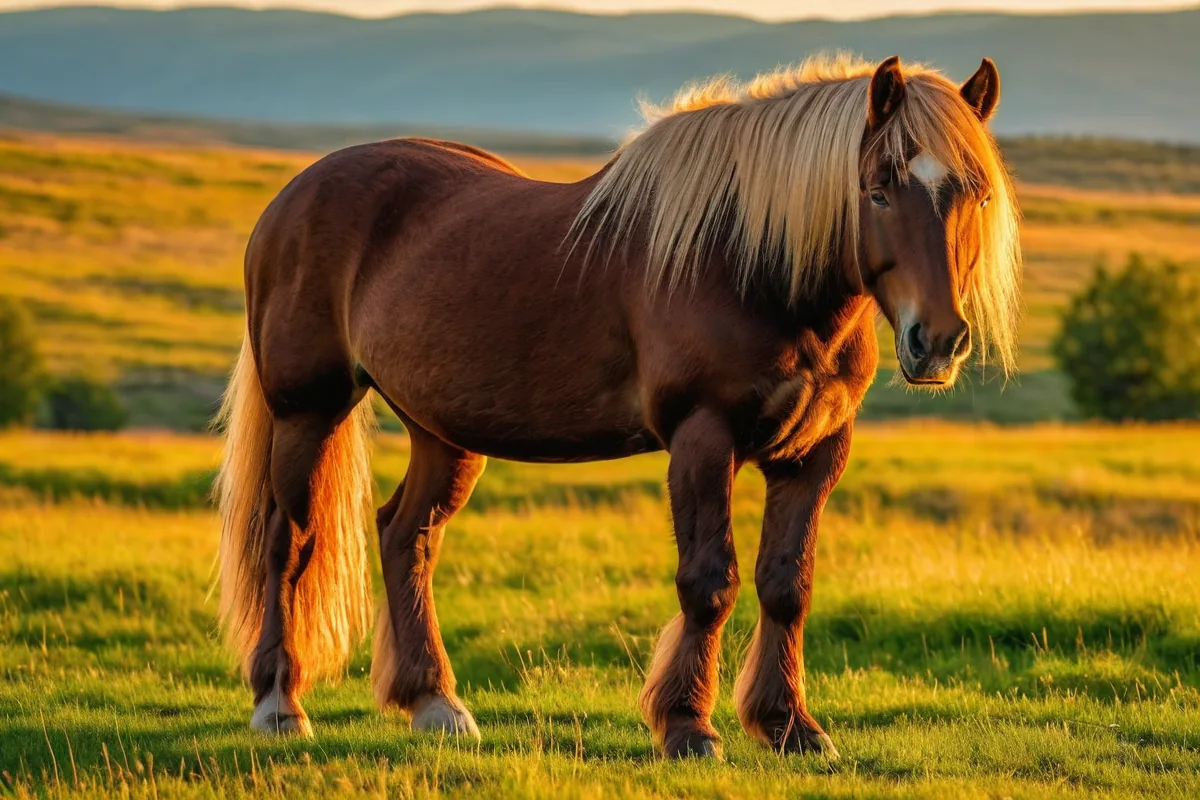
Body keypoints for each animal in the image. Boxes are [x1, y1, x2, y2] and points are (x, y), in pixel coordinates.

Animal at [215, 53, 1020, 759]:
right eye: (878, 189)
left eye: (977, 193)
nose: (936, 341)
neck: (748, 262)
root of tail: (291, 198)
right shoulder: (703, 438)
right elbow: (709, 581)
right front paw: (688, 726)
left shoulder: (813, 455)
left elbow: (786, 585)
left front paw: (789, 726)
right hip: (308, 411)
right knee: (289, 541)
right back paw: (280, 704)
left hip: (442, 432)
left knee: (404, 536)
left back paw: (435, 704)